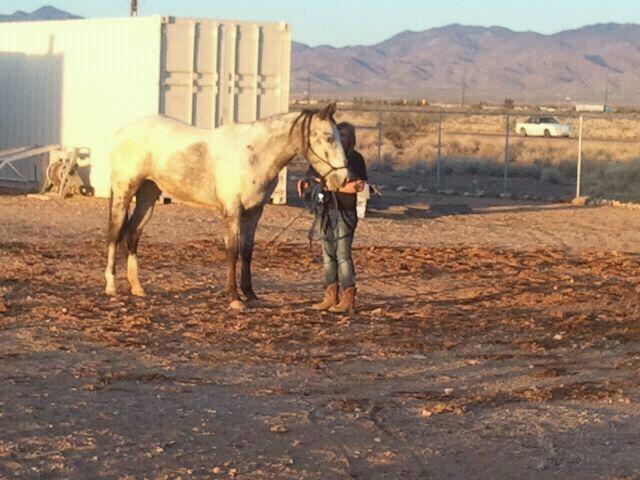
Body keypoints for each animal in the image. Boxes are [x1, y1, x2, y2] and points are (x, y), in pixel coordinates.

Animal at [104, 102, 348, 310]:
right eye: (329, 137)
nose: (343, 179)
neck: (254, 155)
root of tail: (120, 133)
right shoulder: (232, 210)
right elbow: (232, 251)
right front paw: (234, 298)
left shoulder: (254, 212)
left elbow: (247, 251)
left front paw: (250, 295)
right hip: (124, 192)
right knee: (115, 234)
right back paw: (111, 286)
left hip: (148, 195)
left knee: (132, 234)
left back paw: (137, 288)